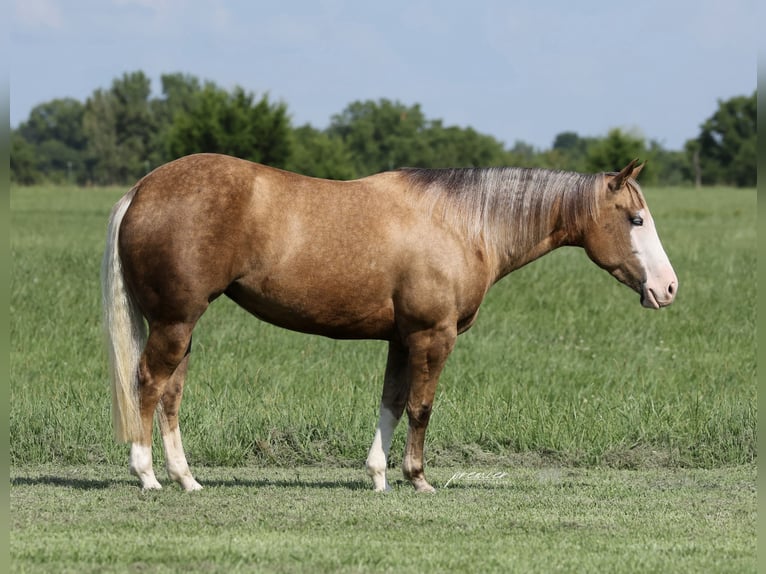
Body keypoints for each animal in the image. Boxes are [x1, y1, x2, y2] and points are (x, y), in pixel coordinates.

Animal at [101, 154, 677, 492]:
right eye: (635, 219)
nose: (668, 288)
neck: (461, 223)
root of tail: (142, 189)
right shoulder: (432, 336)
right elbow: (421, 407)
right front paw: (417, 478)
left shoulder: (402, 339)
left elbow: (392, 402)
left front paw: (378, 476)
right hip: (174, 322)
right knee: (148, 384)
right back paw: (147, 476)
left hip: (181, 327)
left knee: (171, 394)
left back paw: (186, 479)